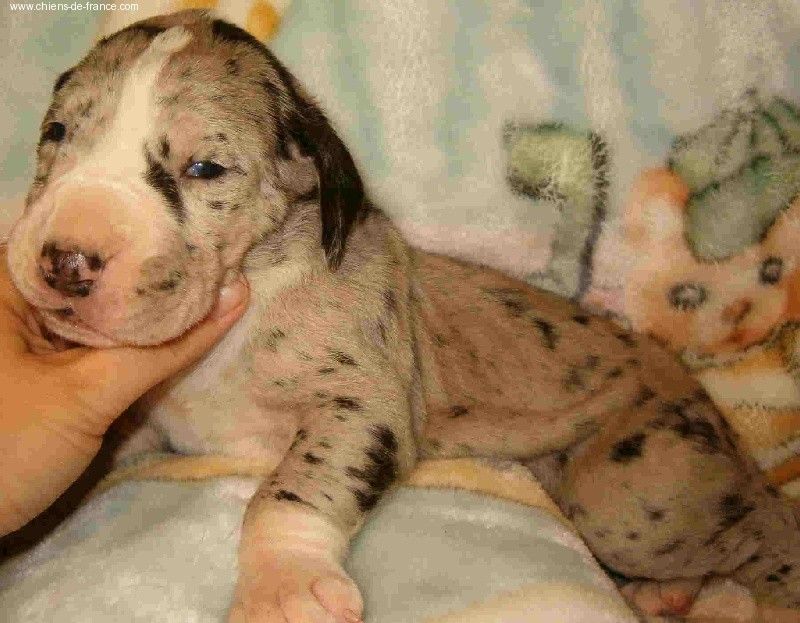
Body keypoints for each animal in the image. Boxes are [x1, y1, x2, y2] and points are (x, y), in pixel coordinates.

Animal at [7, 11, 800, 622]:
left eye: (205, 169)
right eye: (56, 134)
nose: (65, 261)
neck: (254, 285)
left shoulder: (362, 401)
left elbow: (290, 489)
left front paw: (283, 583)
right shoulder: (136, 423)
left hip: (631, 493)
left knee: (765, 531)